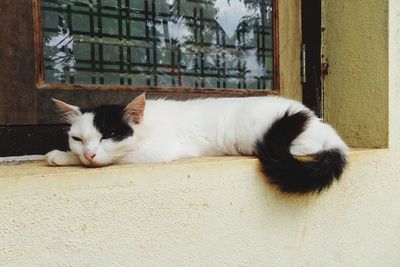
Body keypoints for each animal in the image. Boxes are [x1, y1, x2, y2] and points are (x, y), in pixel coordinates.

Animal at [46, 94, 346, 195]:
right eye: (77, 139)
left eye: (107, 136)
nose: (89, 153)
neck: (148, 122)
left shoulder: (157, 150)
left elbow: (116, 158)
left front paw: (62, 156)